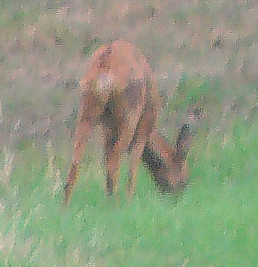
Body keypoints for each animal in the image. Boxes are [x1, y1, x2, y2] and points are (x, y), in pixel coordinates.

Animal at [64, 39, 194, 204]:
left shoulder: (107, 130)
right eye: (184, 180)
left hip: (88, 110)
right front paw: (129, 199)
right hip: (129, 114)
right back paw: (116, 202)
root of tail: (107, 61)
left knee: (76, 159)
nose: (177, 198)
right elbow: (133, 161)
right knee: (115, 158)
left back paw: (66, 204)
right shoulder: (144, 125)